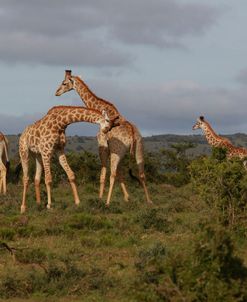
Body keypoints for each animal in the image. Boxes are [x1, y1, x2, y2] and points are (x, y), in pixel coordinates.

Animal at [55, 69, 152, 205]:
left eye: (64, 83)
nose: (56, 92)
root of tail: (133, 133)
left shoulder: (103, 145)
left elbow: (103, 174)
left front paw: (100, 198)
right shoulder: (114, 150)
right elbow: (120, 174)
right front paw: (127, 197)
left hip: (118, 150)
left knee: (113, 174)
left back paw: (107, 202)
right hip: (138, 148)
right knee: (141, 173)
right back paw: (149, 201)